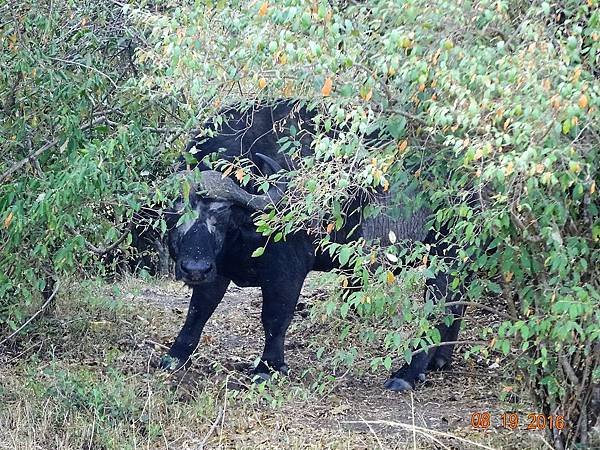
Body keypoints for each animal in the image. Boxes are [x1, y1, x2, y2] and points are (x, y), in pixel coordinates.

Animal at [162, 101, 466, 390]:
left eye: (221, 214)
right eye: (174, 213)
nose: (194, 268)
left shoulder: (287, 267)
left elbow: (275, 316)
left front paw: (268, 367)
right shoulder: (218, 266)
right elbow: (199, 310)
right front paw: (175, 355)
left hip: (443, 254)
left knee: (439, 306)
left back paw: (408, 373)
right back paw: (440, 360)